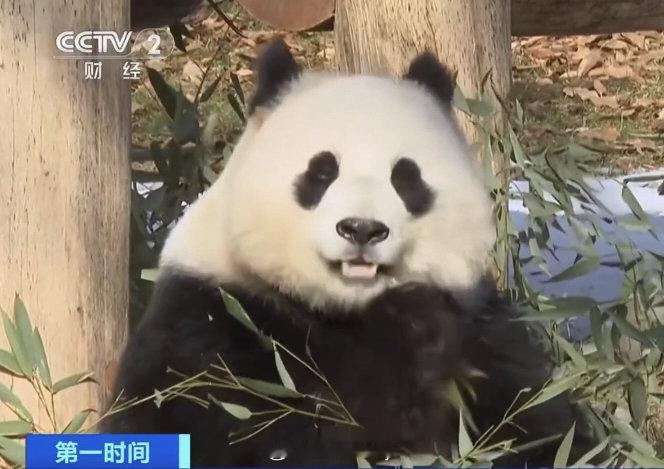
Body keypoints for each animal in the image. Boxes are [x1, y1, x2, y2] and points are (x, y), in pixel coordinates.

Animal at [105, 39, 596, 464]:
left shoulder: (478, 328)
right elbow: (216, 422)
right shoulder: (216, 315)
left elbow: (536, 421)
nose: (362, 229)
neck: (348, 307)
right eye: (322, 172)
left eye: (406, 177)